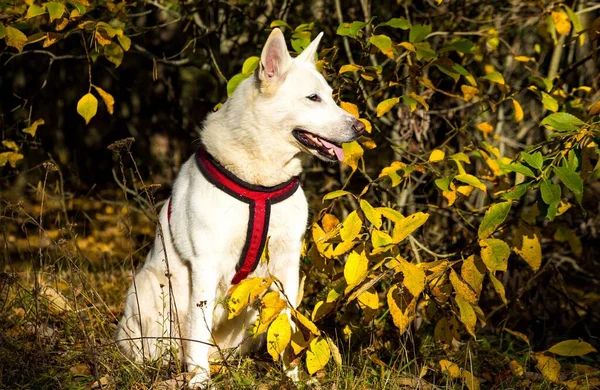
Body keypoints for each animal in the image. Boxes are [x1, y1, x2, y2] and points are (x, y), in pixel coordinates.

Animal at [115, 28, 364, 386]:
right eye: (313, 98)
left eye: (330, 97)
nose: (361, 127)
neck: (260, 183)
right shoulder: (205, 263)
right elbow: (198, 330)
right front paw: (199, 380)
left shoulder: (288, 264)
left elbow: (289, 324)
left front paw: (293, 376)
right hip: (147, 287)